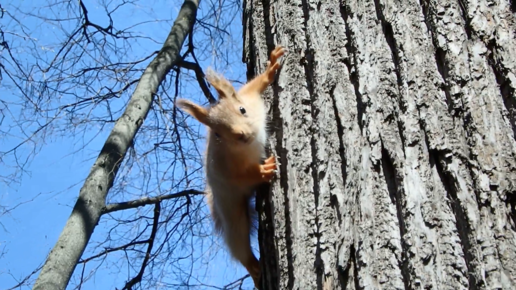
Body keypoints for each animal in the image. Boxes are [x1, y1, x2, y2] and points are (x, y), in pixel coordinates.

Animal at [175, 46, 284, 288]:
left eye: (242, 109)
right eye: (217, 133)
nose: (241, 135)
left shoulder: (249, 96)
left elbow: (254, 85)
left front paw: (271, 66)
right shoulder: (226, 171)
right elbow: (244, 177)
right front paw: (264, 170)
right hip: (232, 212)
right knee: (239, 246)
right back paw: (254, 268)